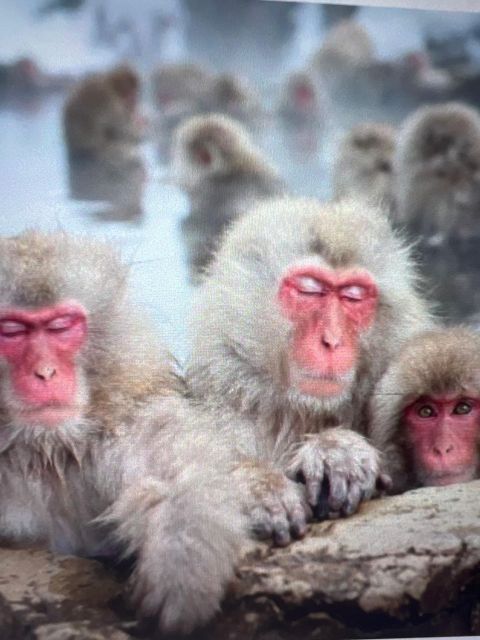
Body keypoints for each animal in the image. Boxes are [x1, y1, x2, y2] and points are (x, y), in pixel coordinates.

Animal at [0, 230, 254, 636]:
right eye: (12, 331)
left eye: (61, 326)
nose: (45, 372)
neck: (44, 448)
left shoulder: (127, 422)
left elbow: (174, 477)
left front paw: (181, 562)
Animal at [186, 197, 433, 542]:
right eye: (309, 291)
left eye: (353, 296)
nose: (331, 340)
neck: (300, 412)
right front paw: (260, 486)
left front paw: (337, 450)